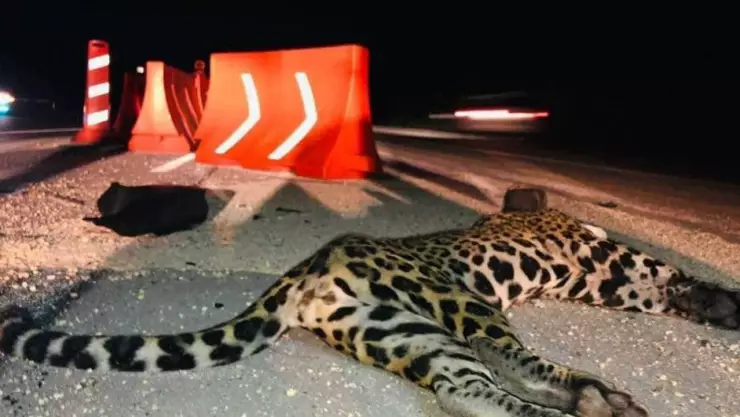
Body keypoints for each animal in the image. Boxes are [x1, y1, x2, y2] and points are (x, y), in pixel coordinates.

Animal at [1, 188, 738, 417]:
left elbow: (664, 288)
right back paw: (590, 395)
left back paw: (568, 405)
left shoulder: (608, 273)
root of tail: (308, 269)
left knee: (460, 387)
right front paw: (723, 301)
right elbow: (668, 277)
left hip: (401, 329)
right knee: (506, 354)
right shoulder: (610, 262)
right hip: (454, 300)